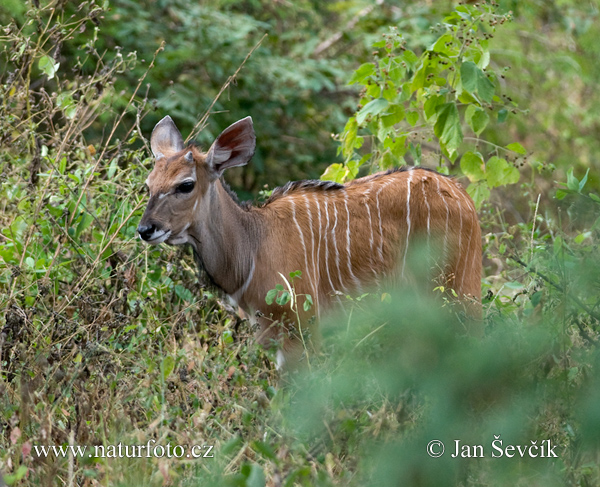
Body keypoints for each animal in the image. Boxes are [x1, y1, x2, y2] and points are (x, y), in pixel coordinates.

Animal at [138, 116, 480, 368]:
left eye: (186, 185)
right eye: (148, 184)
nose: (145, 229)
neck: (254, 244)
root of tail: (461, 195)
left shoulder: (302, 332)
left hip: (457, 289)